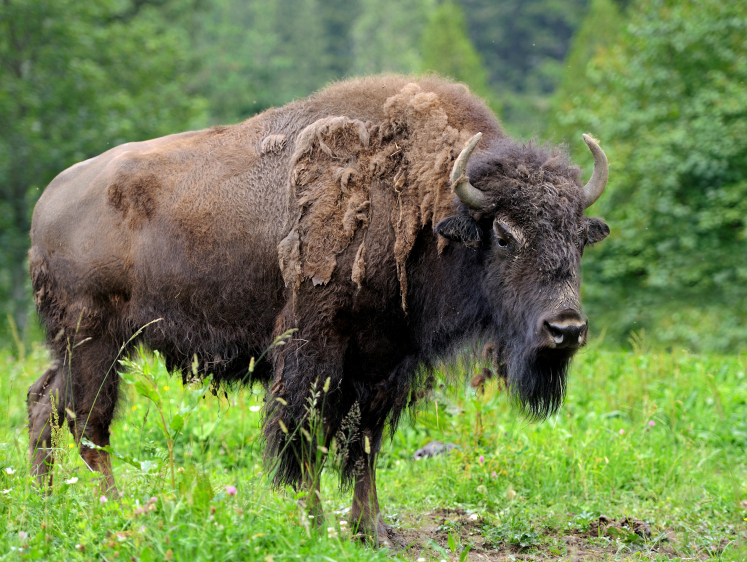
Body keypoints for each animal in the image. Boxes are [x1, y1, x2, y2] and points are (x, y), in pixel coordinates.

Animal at [27, 74, 608, 544]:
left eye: (580, 237)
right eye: (505, 236)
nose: (566, 329)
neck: (425, 207)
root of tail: (48, 199)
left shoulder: (384, 361)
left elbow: (365, 444)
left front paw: (372, 530)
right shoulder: (315, 350)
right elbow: (303, 436)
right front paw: (312, 522)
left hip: (81, 346)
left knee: (44, 402)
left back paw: (45, 503)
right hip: (96, 340)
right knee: (89, 423)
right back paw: (119, 513)